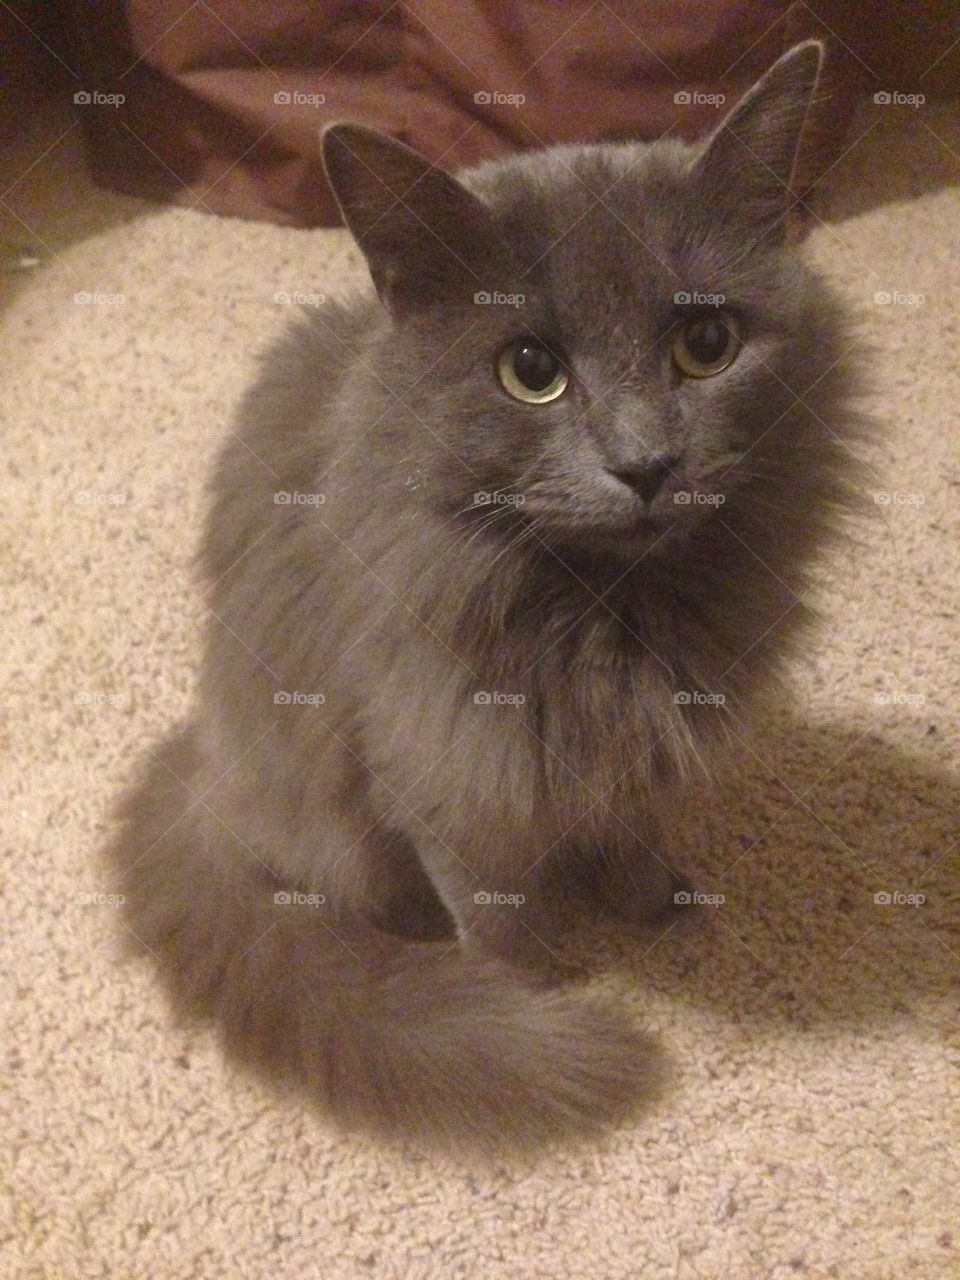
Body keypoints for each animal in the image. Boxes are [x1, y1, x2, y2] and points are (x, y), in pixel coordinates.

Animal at [108, 42, 870, 1162]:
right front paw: (528, 993)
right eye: (531, 371)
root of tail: (203, 765)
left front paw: (652, 902)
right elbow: (497, 909)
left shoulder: (645, 742)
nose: (645, 465)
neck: (607, 613)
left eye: (707, 343)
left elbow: (633, 826)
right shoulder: (445, 762)